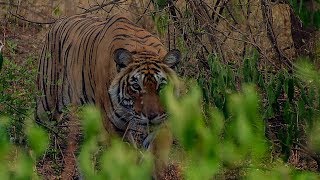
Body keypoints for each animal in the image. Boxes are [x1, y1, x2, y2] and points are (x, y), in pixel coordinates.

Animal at [36, 13, 181, 179]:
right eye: (136, 86)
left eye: (161, 86)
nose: (151, 116)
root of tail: (58, 21)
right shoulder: (114, 126)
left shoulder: (163, 122)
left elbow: (157, 157)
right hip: (46, 105)